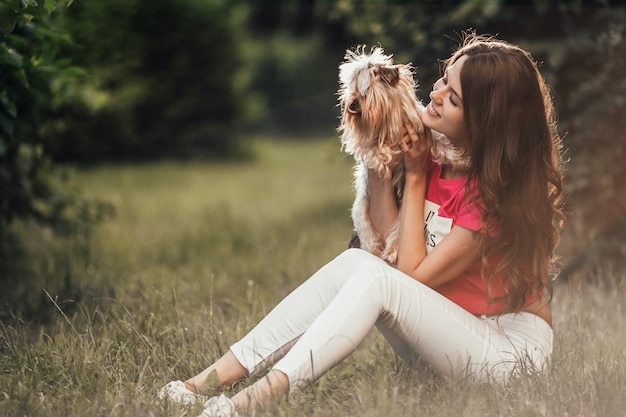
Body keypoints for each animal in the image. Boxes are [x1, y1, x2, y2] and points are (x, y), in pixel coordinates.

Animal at [336, 47, 468, 264]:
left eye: (366, 93)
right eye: (351, 92)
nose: (352, 104)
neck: (388, 124)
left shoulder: (423, 129)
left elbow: (440, 141)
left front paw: (461, 158)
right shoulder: (369, 141)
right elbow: (374, 150)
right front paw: (382, 157)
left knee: (397, 231)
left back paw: (390, 250)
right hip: (361, 208)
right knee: (368, 232)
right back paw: (376, 250)